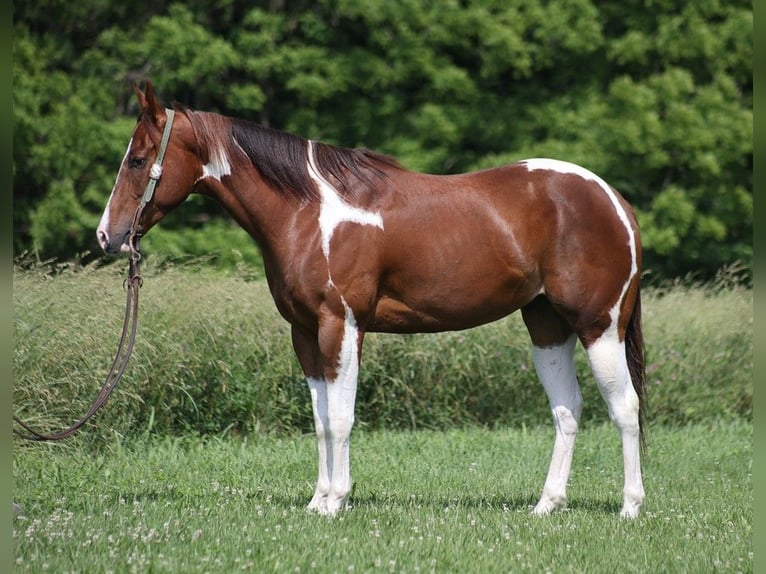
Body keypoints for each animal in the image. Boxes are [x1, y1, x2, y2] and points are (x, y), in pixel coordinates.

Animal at [97, 80, 646, 518]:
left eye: (138, 160)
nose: (107, 236)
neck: (309, 211)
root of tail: (615, 201)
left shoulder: (340, 325)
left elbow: (341, 418)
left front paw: (337, 501)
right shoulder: (305, 333)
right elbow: (321, 420)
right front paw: (318, 501)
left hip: (599, 325)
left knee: (625, 407)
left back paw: (630, 508)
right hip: (548, 327)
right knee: (568, 409)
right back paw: (546, 506)